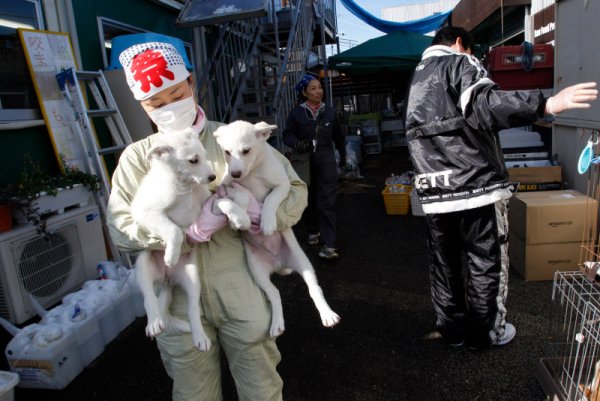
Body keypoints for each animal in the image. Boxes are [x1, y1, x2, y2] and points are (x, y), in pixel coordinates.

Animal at [130, 129, 214, 350]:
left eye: (205, 155)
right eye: (193, 160)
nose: (212, 177)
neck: (184, 186)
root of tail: (167, 278)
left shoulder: (207, 200)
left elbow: (226, 202)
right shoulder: (147, 213)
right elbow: (174, 230)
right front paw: (171, 255)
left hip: (192, 277)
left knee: (193, 309)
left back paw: (200, 336)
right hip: (143, 264)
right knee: (149, 298)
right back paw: (154, 322)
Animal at [213, 120, 340, 336]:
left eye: (246, 150)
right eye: (227, 152)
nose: (235, 173)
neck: (253, 173)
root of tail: (279, 264)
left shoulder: (283, 185)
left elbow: (271, 199)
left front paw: (267, 222)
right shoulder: (226, 187)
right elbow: (241, 194)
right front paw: (241, 217)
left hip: (303, 263)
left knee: (314, 289)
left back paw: (327, 315)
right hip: (257, 272)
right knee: (274, 293)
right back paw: (277, 324)